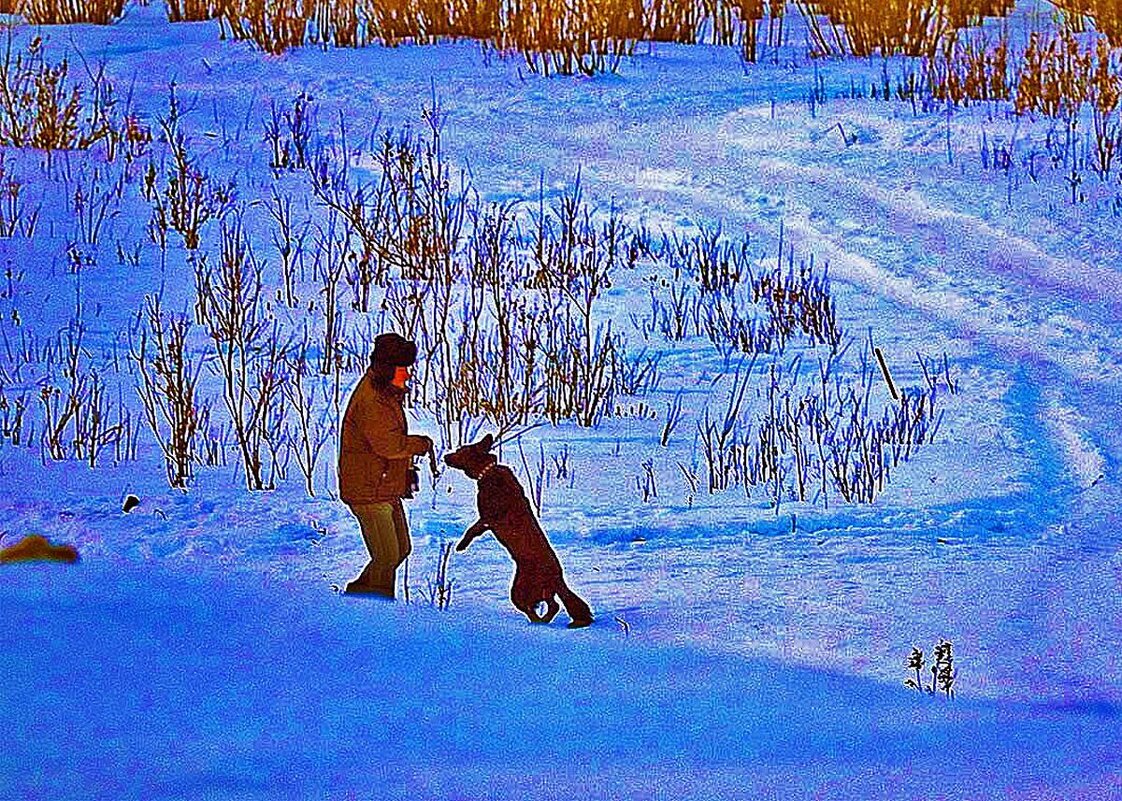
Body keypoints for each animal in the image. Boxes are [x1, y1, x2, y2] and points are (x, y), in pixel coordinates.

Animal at [444, 433, 592, 628]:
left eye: (460, 451)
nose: (445, 456)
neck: (488, 470)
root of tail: (557, 578)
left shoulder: (488, 518)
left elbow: (472, 529)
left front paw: (461, 546)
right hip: (541, 592)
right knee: (554, 605)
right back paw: (543, 622)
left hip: (519, 591)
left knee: (535, 608)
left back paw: (537, 623)